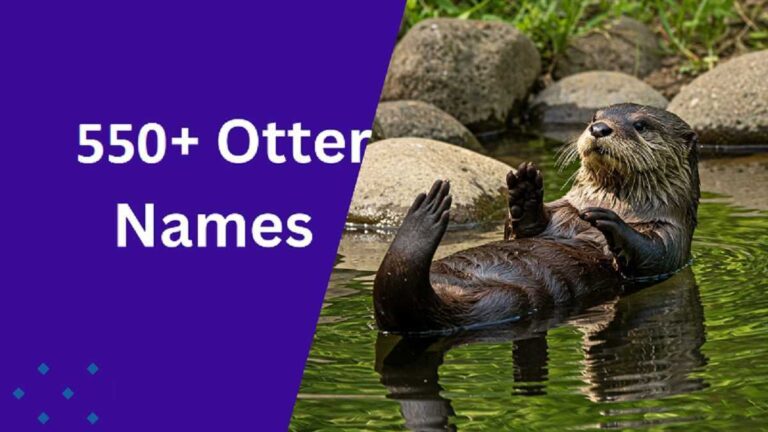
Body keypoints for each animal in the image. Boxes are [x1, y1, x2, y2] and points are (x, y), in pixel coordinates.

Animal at [373, 104, 700, 333]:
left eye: (641, 125)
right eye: (593, 116)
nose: (599, 128)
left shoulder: (674, 237)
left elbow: (651, 256)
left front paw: (609, 220)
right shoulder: (563, 210)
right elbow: (522, 232)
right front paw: (525, 190)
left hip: (504, 301)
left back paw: (424, 219)